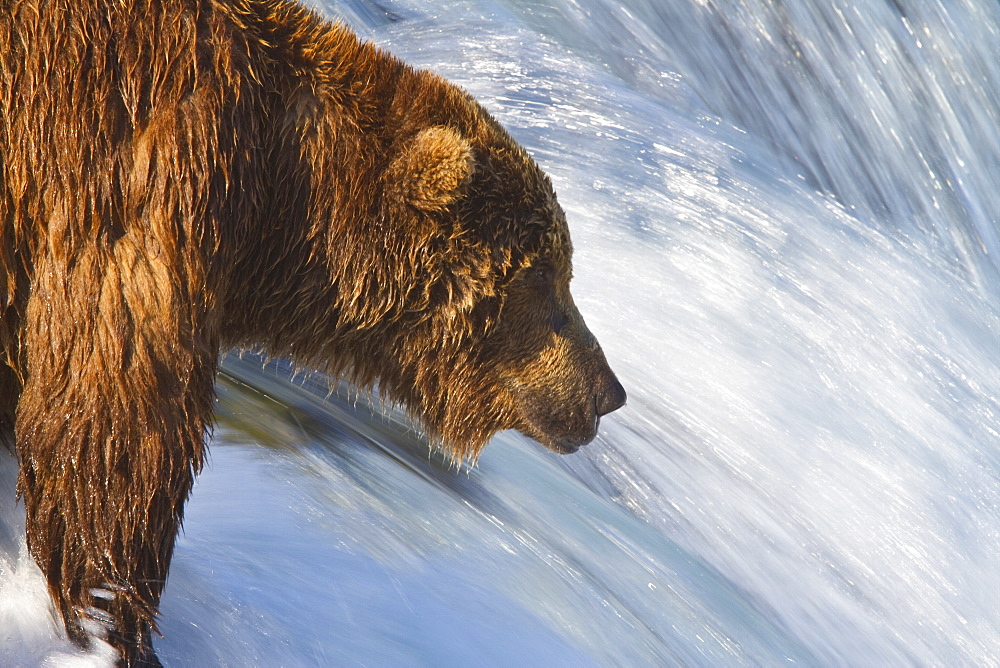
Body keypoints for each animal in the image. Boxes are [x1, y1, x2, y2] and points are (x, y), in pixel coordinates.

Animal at [0, 0, 624, 664]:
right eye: (547, 275)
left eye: (563, 269)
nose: (608, 391)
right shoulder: (138, 187)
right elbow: (115, 421)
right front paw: (112, 619)